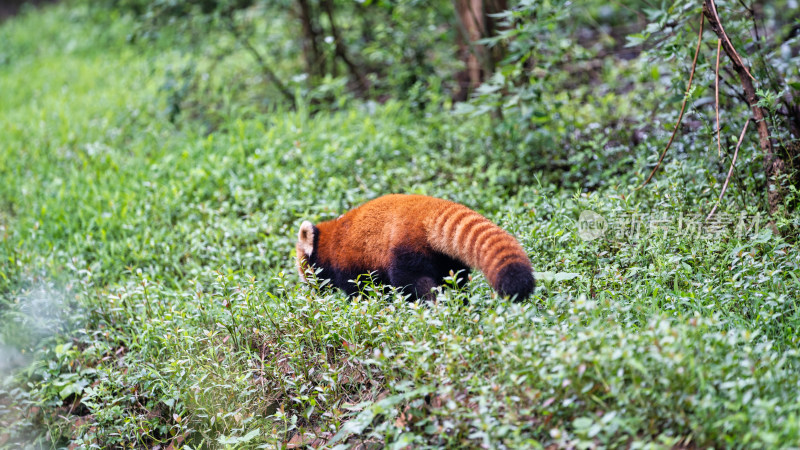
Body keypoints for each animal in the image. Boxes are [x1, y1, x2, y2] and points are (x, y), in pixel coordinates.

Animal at [296, 195, 536, 300]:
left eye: (302, 269)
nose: (307, 286)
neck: (329, 241)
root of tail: (427, 208)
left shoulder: (350, 263)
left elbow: (360, 291)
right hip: (445, 258)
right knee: (456, 279)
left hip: (406, 251)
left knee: (415, 283)